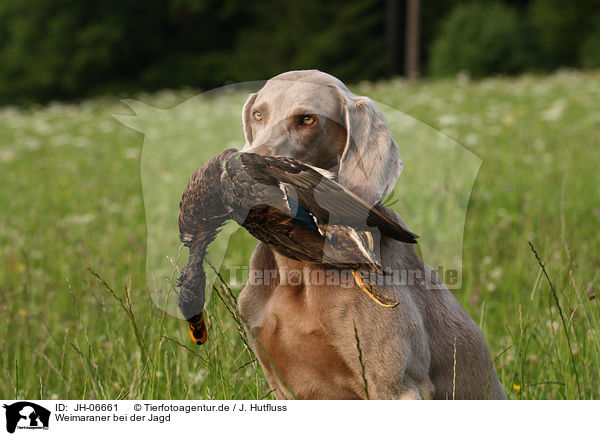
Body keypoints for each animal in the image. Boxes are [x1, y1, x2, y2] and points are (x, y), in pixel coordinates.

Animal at [236, 70, 506, 400]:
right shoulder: (282, 385)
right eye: (258, 114)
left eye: (307, 119)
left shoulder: (396, 387)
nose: (247, 164)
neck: (297, 273)